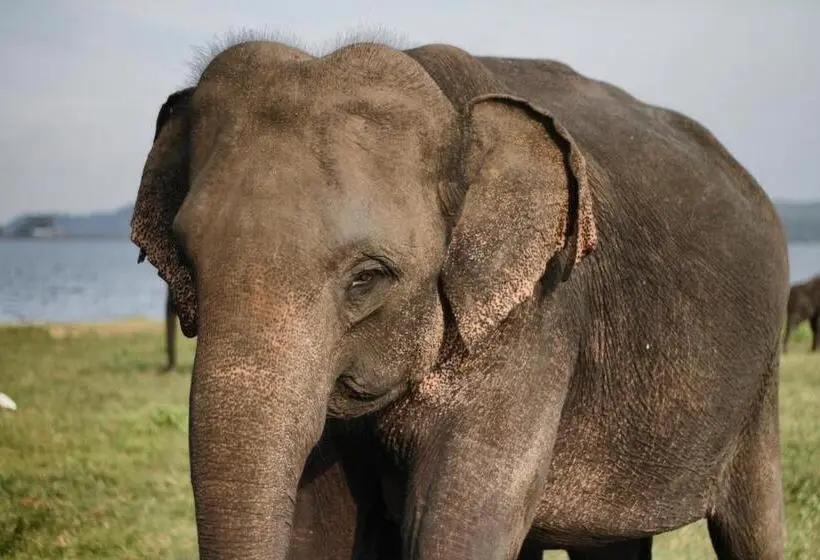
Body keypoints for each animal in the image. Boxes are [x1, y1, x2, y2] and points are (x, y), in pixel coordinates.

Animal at [131, 37, 790, 559]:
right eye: (185, 263)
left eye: (366, 279)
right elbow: (323, 527)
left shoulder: (537, 316)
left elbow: (461, 527)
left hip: (759, 389)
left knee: (755, 522)